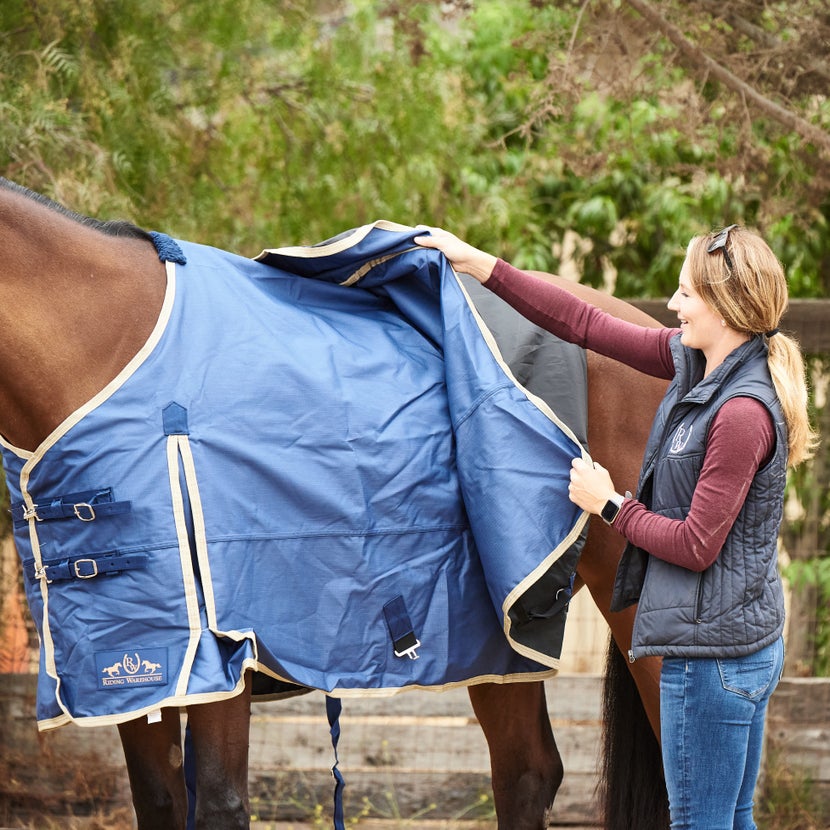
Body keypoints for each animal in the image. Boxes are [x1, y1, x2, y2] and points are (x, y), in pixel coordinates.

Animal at [0, 177, 668, 830]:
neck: (108, 347)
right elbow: (161, 802)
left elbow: (218, 802)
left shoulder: (223, 653)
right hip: (503, 641)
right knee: (527, 773)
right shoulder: (131, 670)